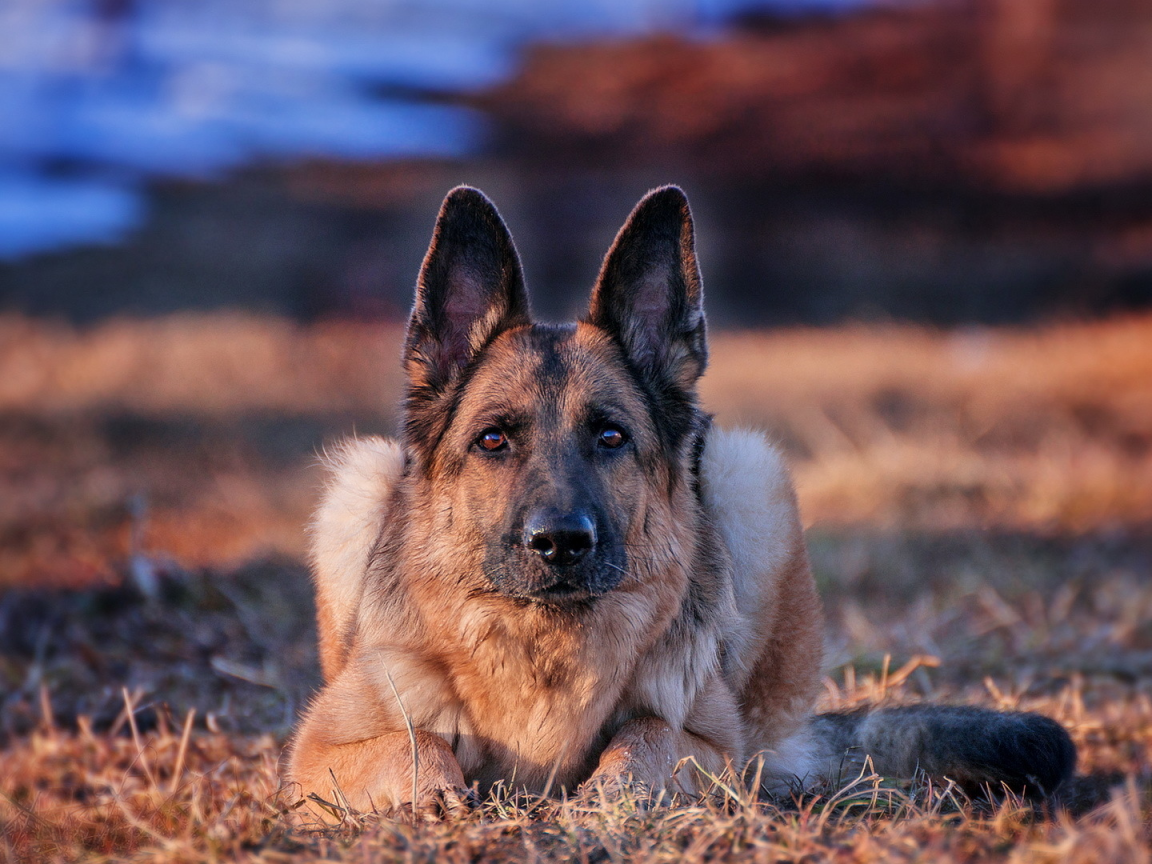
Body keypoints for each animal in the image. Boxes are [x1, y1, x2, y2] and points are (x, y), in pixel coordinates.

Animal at [283, 184, 1073, 820]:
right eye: (493, 440)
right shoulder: (315, 751)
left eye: (610, 435)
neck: (545, 643)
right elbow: (410, 745)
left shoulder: (710, 744)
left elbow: (649, 736)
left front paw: (612, 793)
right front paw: (435, 792)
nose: (561, 543)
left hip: (751, 476)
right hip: (355, 480)